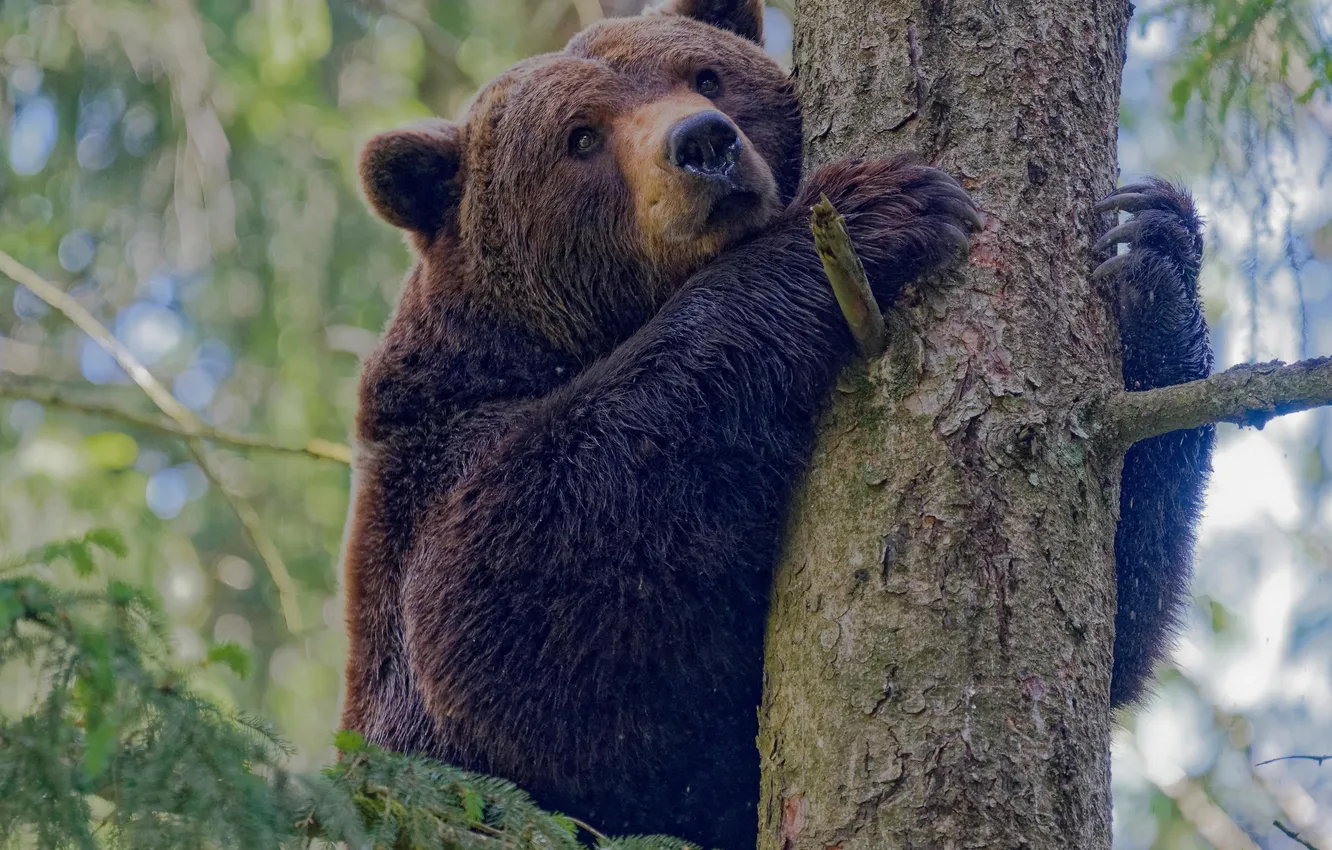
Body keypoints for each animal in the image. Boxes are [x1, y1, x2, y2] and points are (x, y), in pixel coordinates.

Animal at [338, 0, 1213, 846]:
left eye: (706, 74)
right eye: (579, 136)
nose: (703, 143)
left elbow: (1121, 615)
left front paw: (1154, 255)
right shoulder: (433, 468)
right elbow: (499, 615)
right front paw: (871, 211)